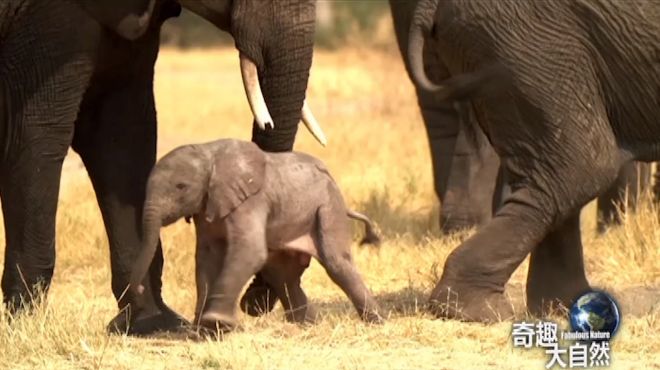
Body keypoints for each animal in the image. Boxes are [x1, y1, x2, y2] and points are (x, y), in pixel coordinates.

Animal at [130, 139, 384, 332]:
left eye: (181, 187)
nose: (140, 290)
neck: (208, 155)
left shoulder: (250, 202)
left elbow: (249, 251)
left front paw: (215, 323)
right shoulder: (206, 207)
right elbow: (206, 257)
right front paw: (200, 329)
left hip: (328, 207)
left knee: (337, 264)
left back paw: (377, 322)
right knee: (282, 276)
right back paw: (308, 325)